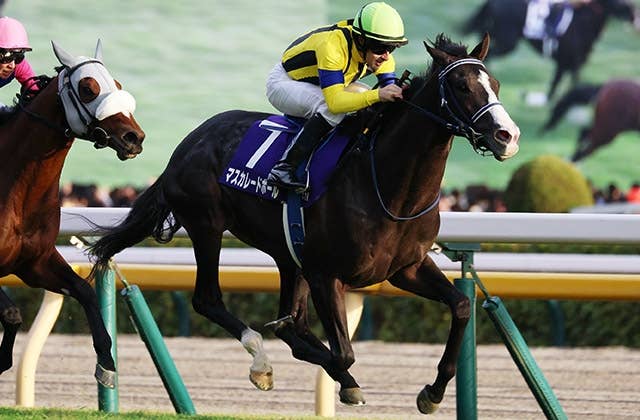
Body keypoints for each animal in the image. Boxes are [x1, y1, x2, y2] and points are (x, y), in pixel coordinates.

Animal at [0, 41, 144, 388]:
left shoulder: (34, 263)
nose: (134, 137)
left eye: (117, 85)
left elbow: (85, 291)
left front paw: (106, 363)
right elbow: (12, 313)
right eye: (88, 89)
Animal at [88, 33, 519, 414]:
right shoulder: (326, 274)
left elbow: (461, 306)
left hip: (286, 254)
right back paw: (261, 362)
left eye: (495, 84)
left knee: (287, 318)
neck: (387, 183)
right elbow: (342, 355)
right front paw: (347, 384)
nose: (508, 135)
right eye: (462, 86)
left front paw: (432, 392)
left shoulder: (406, 268)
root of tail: (187, 143)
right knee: (209, 299)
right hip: (207, 226)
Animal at [462, 0, 640, 99]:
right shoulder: (570, 62)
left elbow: (556, 86)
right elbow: (570, 84)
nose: (633, 14)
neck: (582, 21)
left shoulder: (567, 63)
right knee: (489, 54)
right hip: (508, 41)